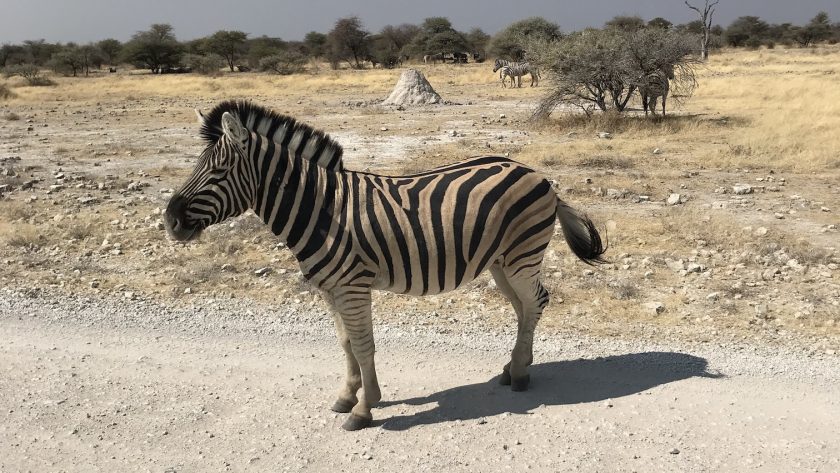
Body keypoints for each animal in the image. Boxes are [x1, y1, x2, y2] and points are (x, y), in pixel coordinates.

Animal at [164, 100, 607, 431]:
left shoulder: (352, 285)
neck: (320, 210)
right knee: (524, 308)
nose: (170, 221)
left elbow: (363, 345)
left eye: (218, 171)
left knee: (535, 302)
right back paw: (514, 366)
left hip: (521, 255)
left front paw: (364, 408)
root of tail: (538, 175)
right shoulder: (329, 288)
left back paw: (520, 375)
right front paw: (347, 396)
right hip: (501, 261)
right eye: (196, 166)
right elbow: (345, 343)